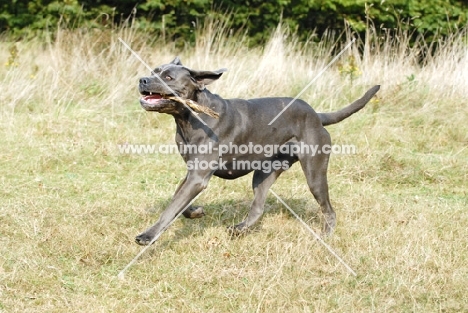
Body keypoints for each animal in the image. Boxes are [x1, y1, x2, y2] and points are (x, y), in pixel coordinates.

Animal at [135, 57, 380, 245]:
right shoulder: (193, 173)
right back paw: (241, 228)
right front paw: (196, 212)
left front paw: (148, 235)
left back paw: (325, 236)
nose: (142, 79)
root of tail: (317, 115)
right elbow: (178, 201)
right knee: (258, 206)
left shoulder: (198, 176)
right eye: (153, 71)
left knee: (328, 208)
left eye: (168, 78)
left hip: (315, 173)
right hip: (263, 173)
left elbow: (170, 208)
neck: (189, 117)